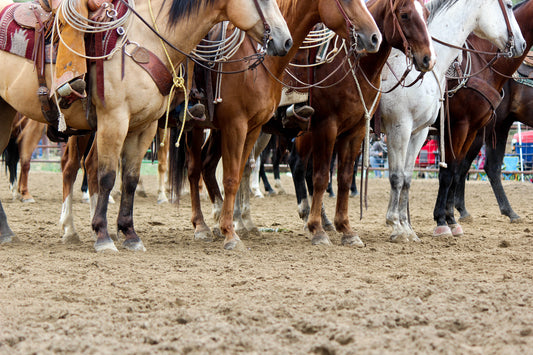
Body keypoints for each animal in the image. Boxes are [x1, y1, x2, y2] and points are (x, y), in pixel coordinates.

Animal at [171, 0, 382, 250]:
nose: (374, 37)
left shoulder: (253, 128)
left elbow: (240, 173)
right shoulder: (239, 125)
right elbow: (233, 177)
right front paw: (231, 233)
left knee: (207, 165)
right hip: (195, 128)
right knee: (194, 170)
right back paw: (201, 226)